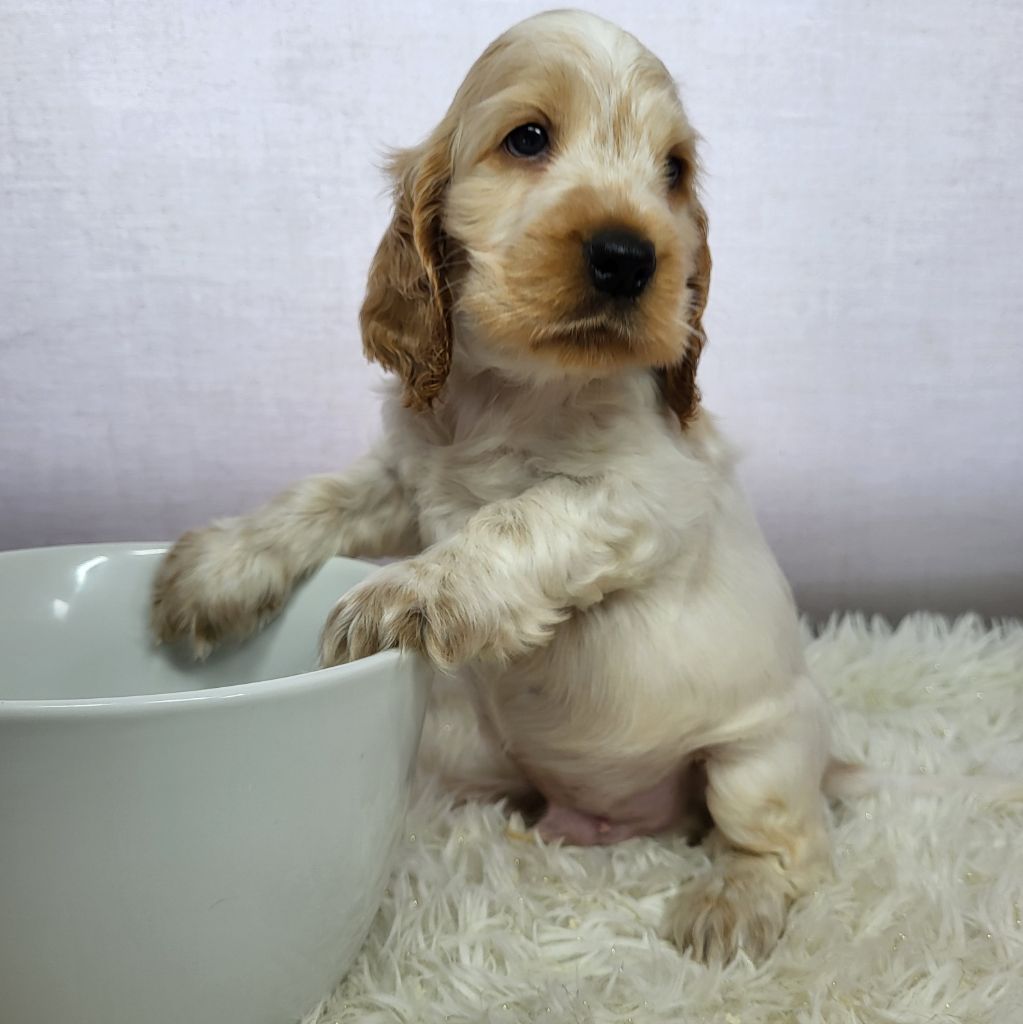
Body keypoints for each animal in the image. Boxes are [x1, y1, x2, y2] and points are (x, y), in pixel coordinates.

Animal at [151, 10, 837, 964]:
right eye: (527, 139)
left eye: (672, 171)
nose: (629, 257)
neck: (514, 390)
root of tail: (606, 821)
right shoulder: (407, 479)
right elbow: (322, 499)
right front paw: (216, 569)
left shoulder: (637, 490)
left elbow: (517, 516)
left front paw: (399, 598)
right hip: (470, 747)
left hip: (758, 758)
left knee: (786, 846)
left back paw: (729, 904)